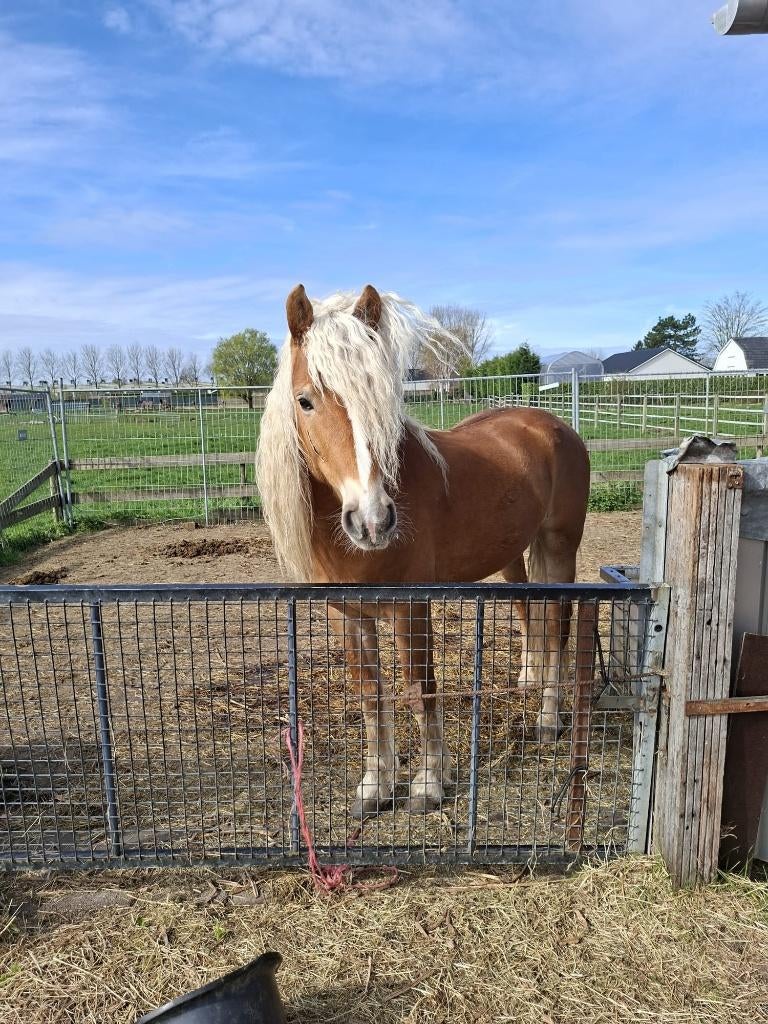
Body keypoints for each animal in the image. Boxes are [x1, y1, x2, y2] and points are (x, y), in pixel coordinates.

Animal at [256, 284, 590, 816]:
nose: (373, 521)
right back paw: (528, 680)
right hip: (515, 554)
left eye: (383, 397)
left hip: (560, 547)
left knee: (557, 627)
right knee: (528, 611)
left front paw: (429, 783)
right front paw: (375, 785)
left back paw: (547, 719)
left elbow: (420, 689)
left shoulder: (410, 608)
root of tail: (552, 425)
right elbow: (370, 695)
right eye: (305, 400)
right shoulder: (349, 614)